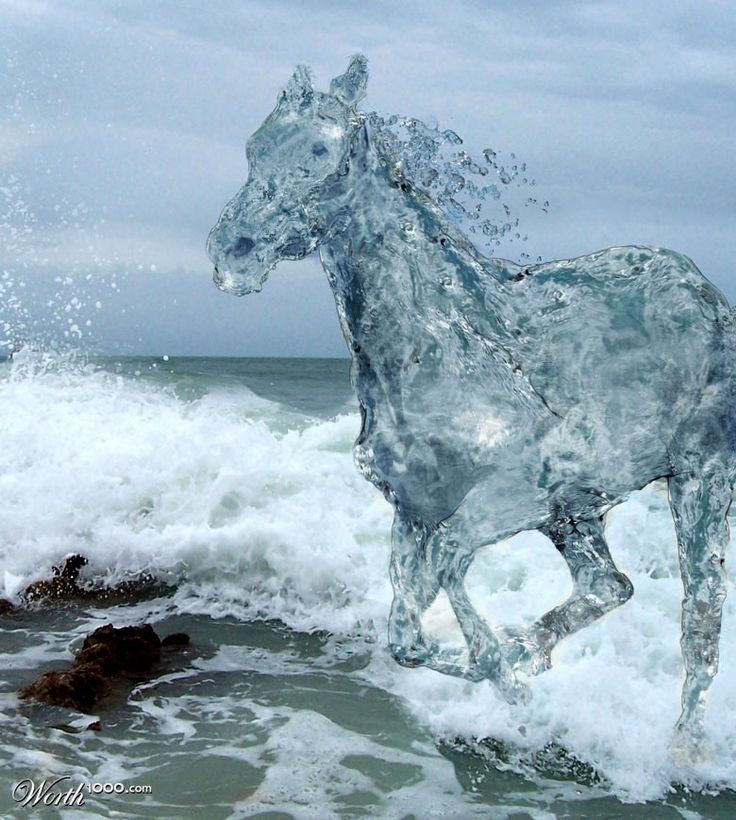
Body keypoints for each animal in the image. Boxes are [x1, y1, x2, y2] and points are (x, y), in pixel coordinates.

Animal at [207, 56, 736, 764]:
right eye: (254, 146)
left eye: (320, 151)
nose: (231, 251)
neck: (440, 345)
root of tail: (706, 290)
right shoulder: (414, 512)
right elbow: (406, 638)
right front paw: (514, 677)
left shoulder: (509, 498)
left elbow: (452, 571)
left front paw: (507, 675)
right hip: (575, 515)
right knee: (610, 585)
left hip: (698, 478)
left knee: (700, 617)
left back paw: (683, 749)